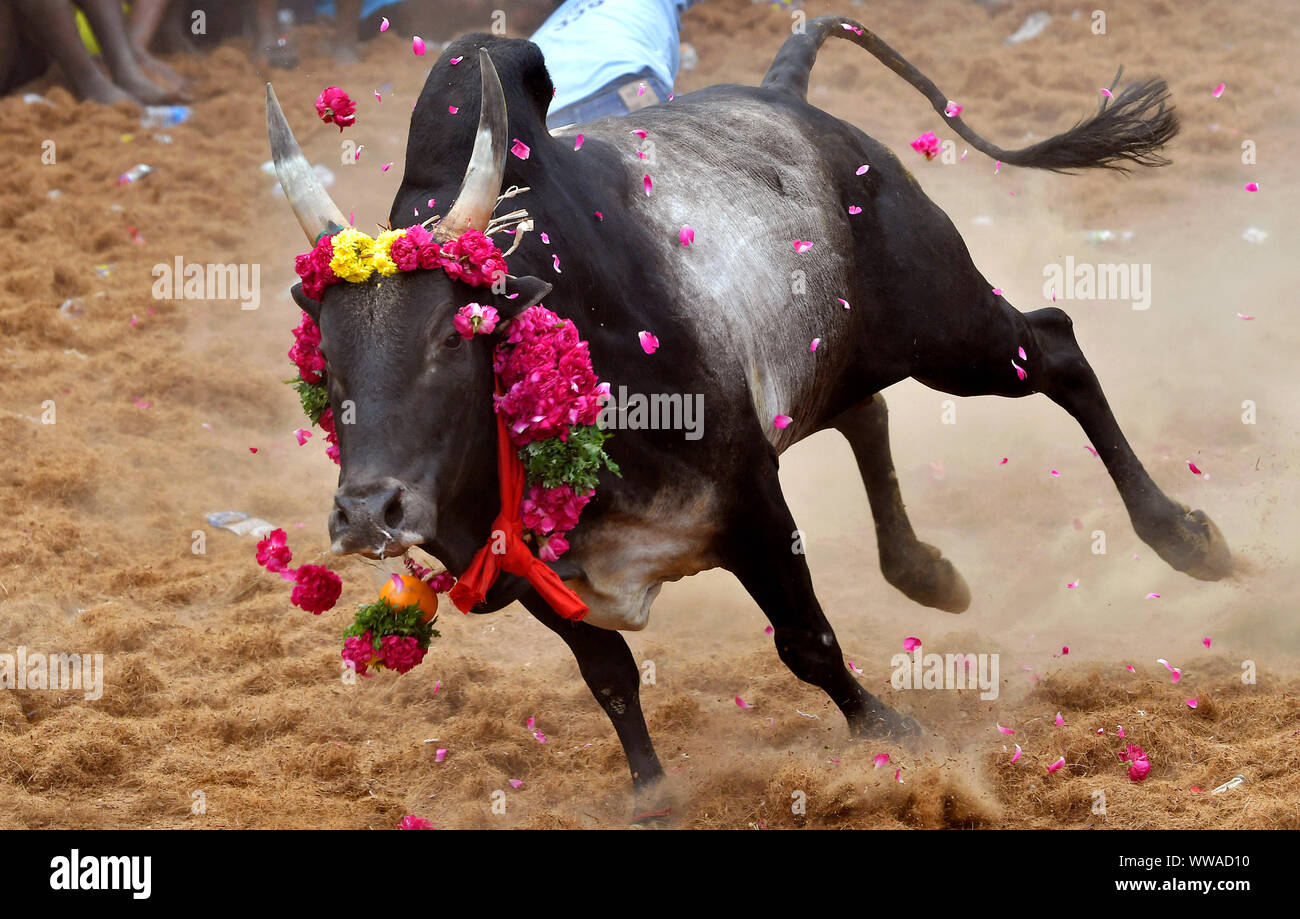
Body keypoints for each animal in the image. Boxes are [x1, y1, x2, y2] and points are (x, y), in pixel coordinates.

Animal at [261, 16, 1227, 821]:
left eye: (454, 336)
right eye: (328, 356)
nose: (368, 511)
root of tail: (788, 96)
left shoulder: (752, 503)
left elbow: (807, 641)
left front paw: (893, 737)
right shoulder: (536, 574)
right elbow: (610, 677)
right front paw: (653, 791)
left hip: (950, 331)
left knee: (1057, 349)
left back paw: (1184, 536)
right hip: (851, 352)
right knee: (869, 412)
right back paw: (926, 570)